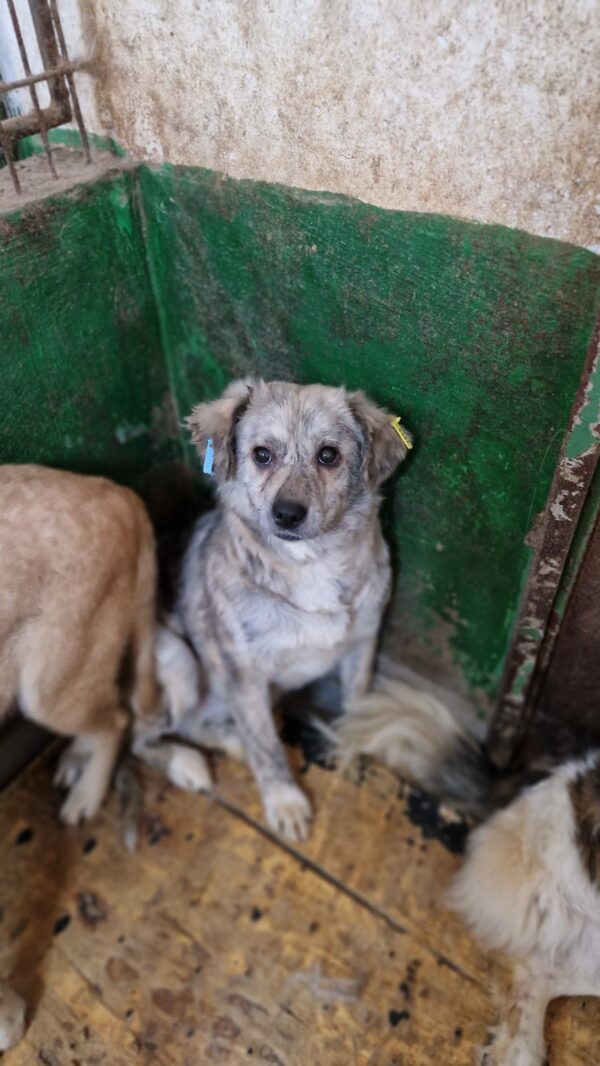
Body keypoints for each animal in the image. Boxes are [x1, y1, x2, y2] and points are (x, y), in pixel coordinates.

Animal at [133, 381, 411, 840]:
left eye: (328, 455)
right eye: (262, 454)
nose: (287, 513)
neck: (309, 564)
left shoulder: (363, 645)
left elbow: (354, 707)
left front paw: (349, 754)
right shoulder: (243, 676)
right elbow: (266, 749)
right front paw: (285, 801)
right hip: (179, 662)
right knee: (136, 738)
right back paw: (186, 764)